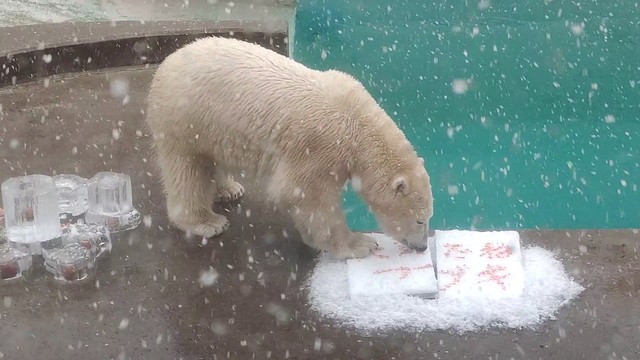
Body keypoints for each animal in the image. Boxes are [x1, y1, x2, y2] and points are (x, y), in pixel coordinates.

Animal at [146, 36, 436, 260]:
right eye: (421, 220)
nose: (422, 247)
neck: (358, 124)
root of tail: (166, 64)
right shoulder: (321, 146)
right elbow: (307, 195)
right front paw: (360, 243)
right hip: (186, 121)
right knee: (189, 171)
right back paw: (207, 221)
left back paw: (229, 189)